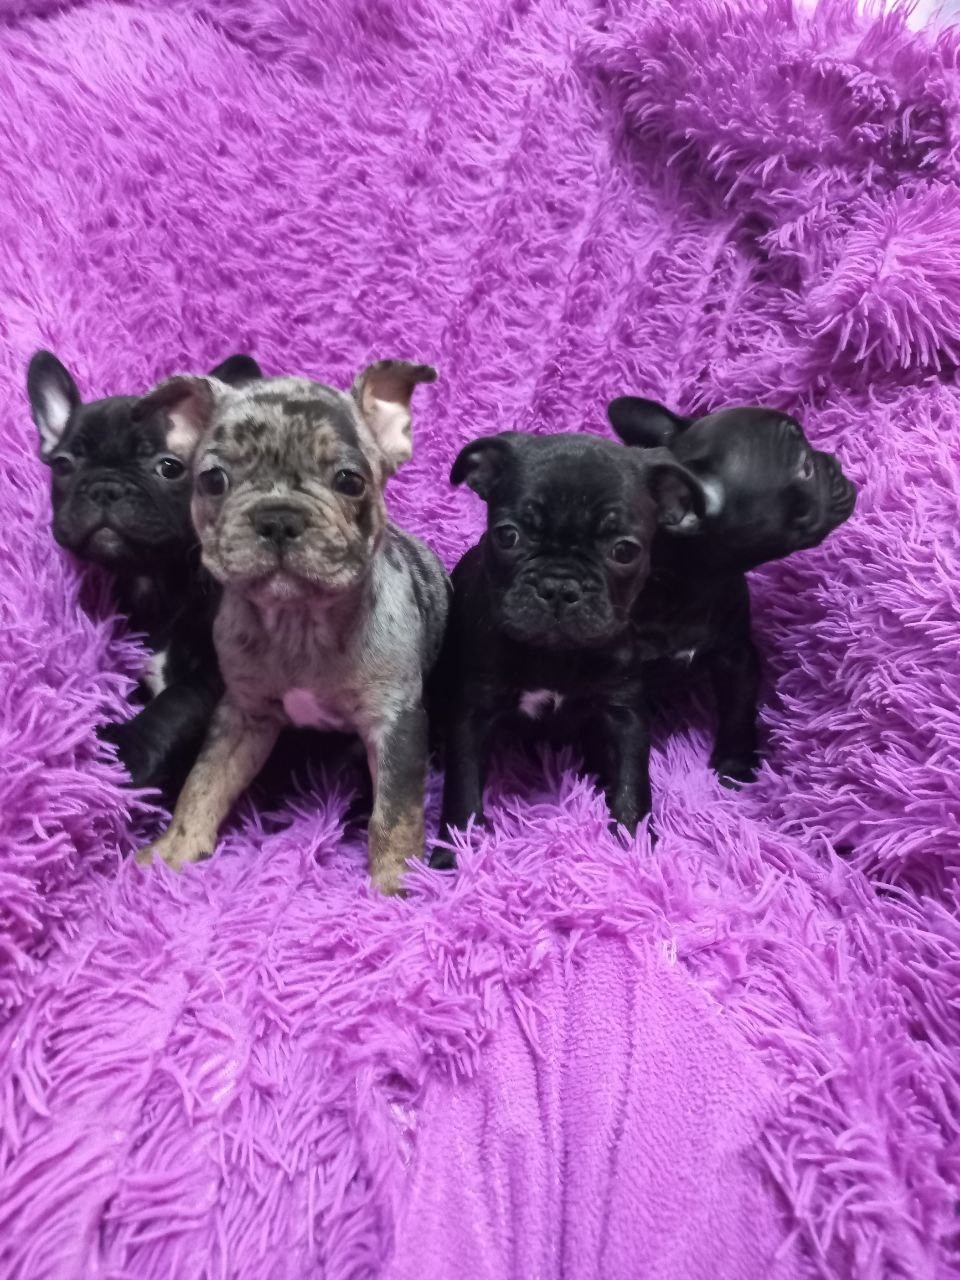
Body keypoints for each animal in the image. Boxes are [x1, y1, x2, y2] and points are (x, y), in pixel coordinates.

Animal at [28, 349, 262, 794]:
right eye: (63, 464)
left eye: (169, 467)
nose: (104, 487)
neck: (157, 578)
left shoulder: (225, 674)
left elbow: (177, 702)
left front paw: (126, 748)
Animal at [133, 360, 449, 896]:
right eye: (213, 480)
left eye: (350, 481)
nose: (277, 517)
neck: (299, 623)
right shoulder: (242, 715)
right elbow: (204, 781)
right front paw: (175, 846)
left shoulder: (395, 723)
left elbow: (395, 813)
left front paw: (395, 884)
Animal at [431, 430, 708, 865]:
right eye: (507, 535)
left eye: (624, 550)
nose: (559, 586)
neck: (556, 654)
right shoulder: (473, 713)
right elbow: (463, 788)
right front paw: (452, 856)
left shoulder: (624, 712)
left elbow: (633, 782)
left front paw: (635, 845)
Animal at [606, 395, 857, 784]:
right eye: (804, 469)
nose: (834, 461)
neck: (689, 588)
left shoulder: (735, 654)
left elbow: (739, 709)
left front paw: (735, 763)